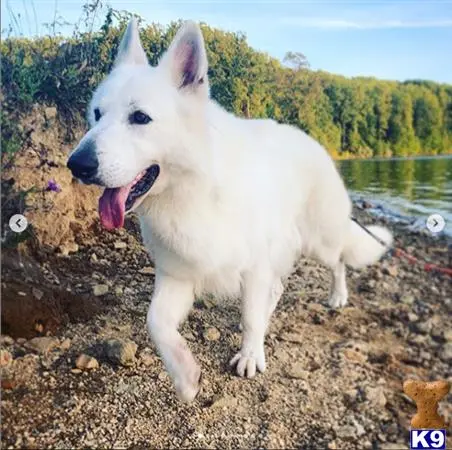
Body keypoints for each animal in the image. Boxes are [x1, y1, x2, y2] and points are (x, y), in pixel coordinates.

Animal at [68, 19, 392, 402]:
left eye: (140, 118)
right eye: (97, 114)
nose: (76, 164)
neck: (195, 190)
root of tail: (311, 140)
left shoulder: (254, 267)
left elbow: (250, 318)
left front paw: (251, 354)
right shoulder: (177, 275)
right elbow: (155, 322)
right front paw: (184, 374)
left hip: (319, 241)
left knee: (338, 260)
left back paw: (337, 295)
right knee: (277, 288)